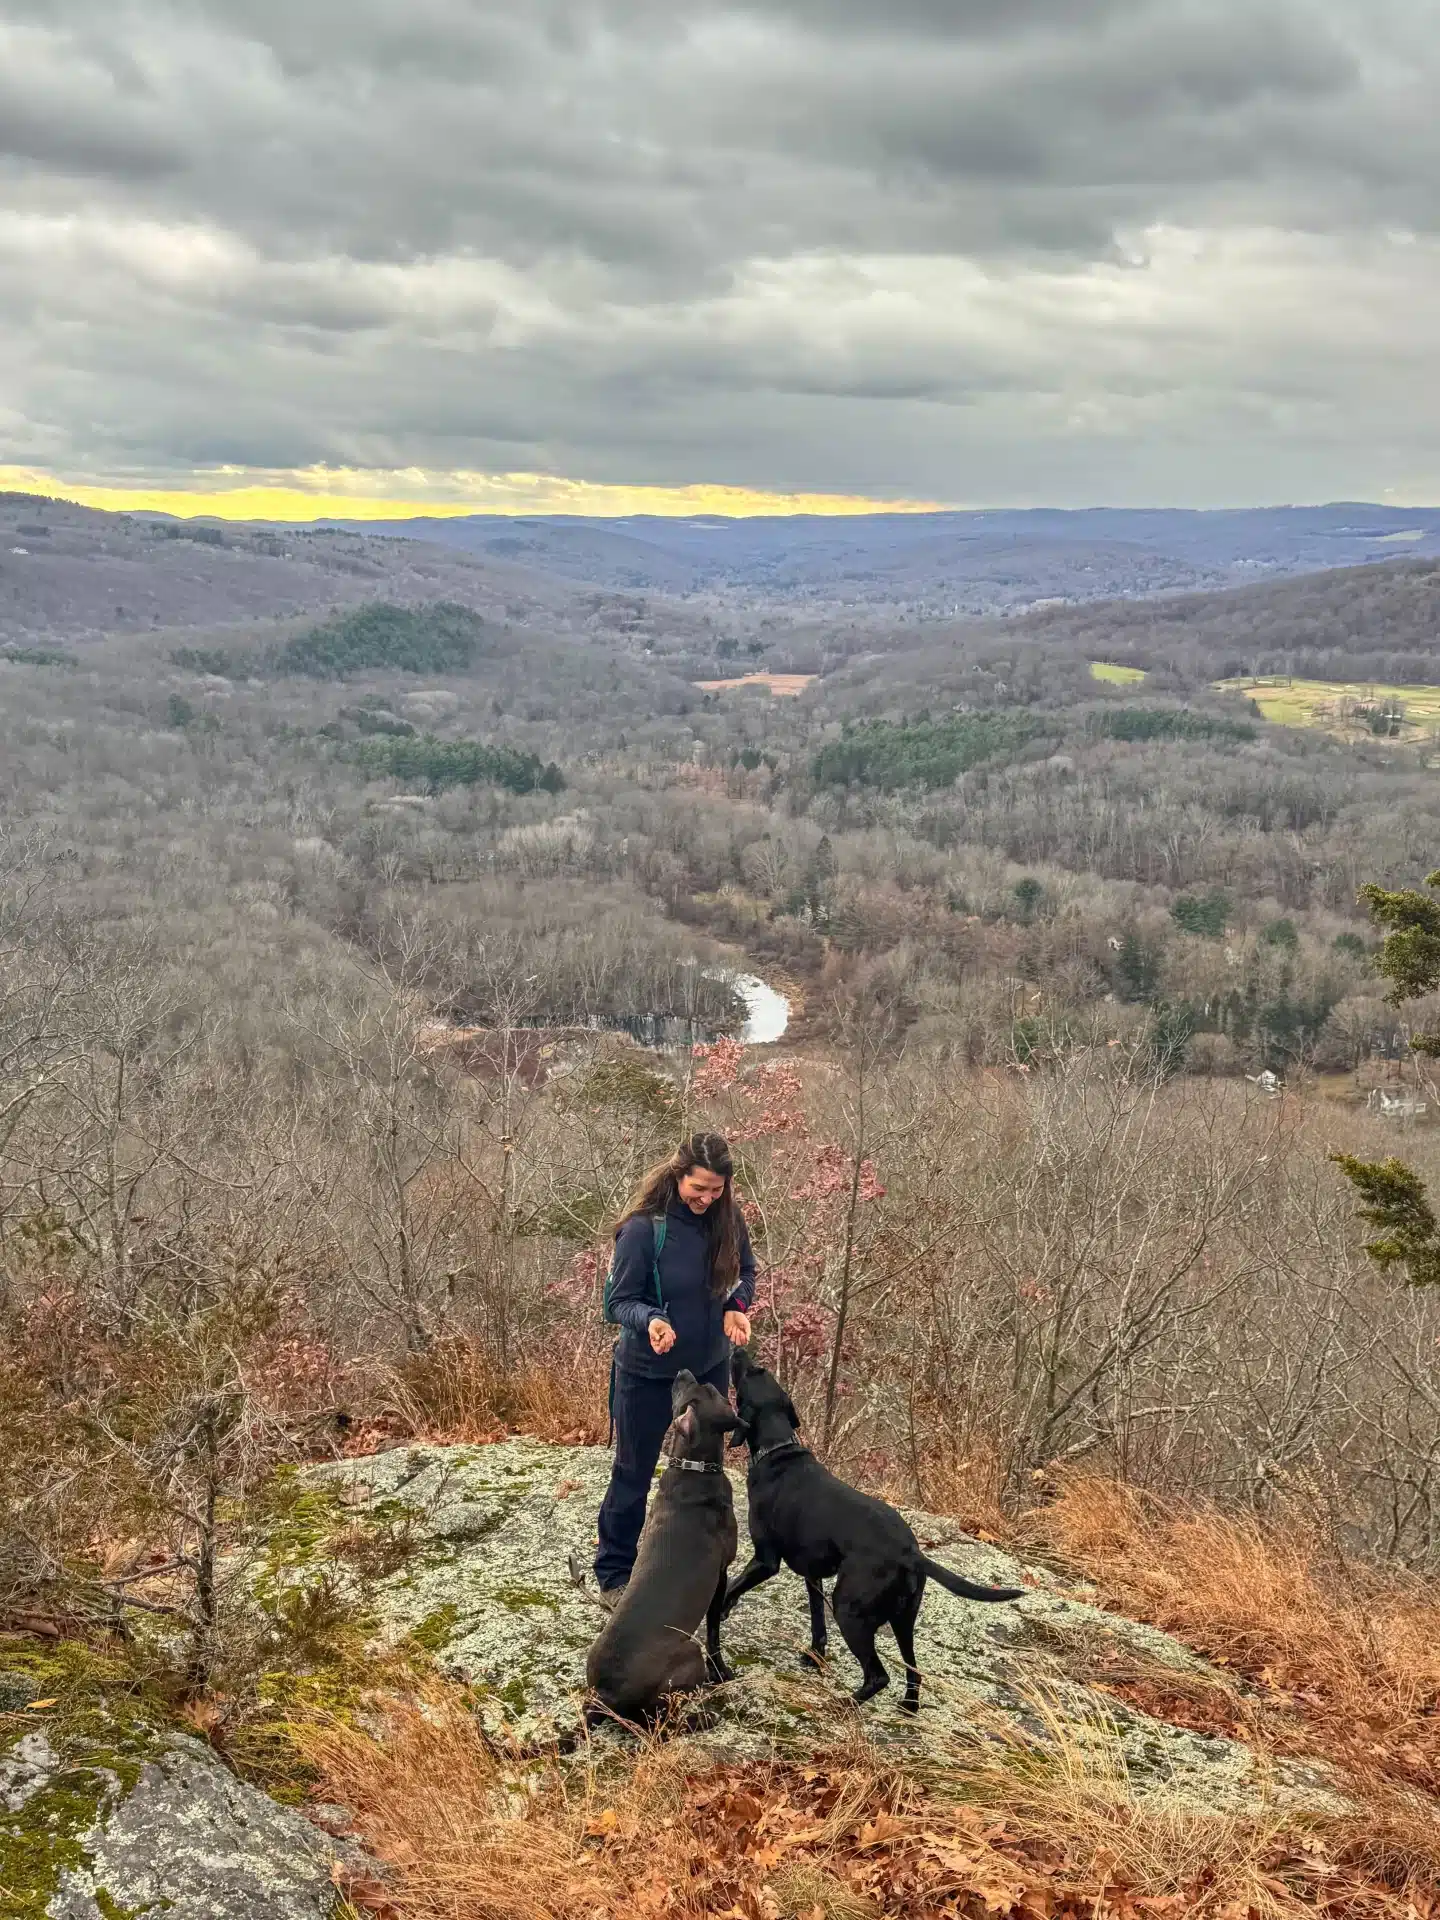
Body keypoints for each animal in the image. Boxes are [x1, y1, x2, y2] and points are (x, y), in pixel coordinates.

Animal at [587, 1367, 744, 1728]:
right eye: (709, 1388)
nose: (682, 1370)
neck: (693, 1467)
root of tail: (603, 1698)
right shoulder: (721, 1574)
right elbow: (714, 1633)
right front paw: (723, 1672)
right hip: (689, 1654)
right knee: (664, 1721)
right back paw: (706, 1718)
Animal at [725, 1351, 1021, 1712]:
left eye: (750, 1372)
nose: (739, 1351)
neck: (779, 1449)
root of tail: (912, 1553)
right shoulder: (813, 1574)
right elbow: (817, 1622)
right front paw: (815, 1657)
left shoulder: (766, 1561)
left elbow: (731, 1587)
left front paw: (721, 1613)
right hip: (903, 1619)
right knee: (913, 1669)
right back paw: (908, 1706)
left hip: (849, 1608)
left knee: (878, 1676)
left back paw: (842, 1705)